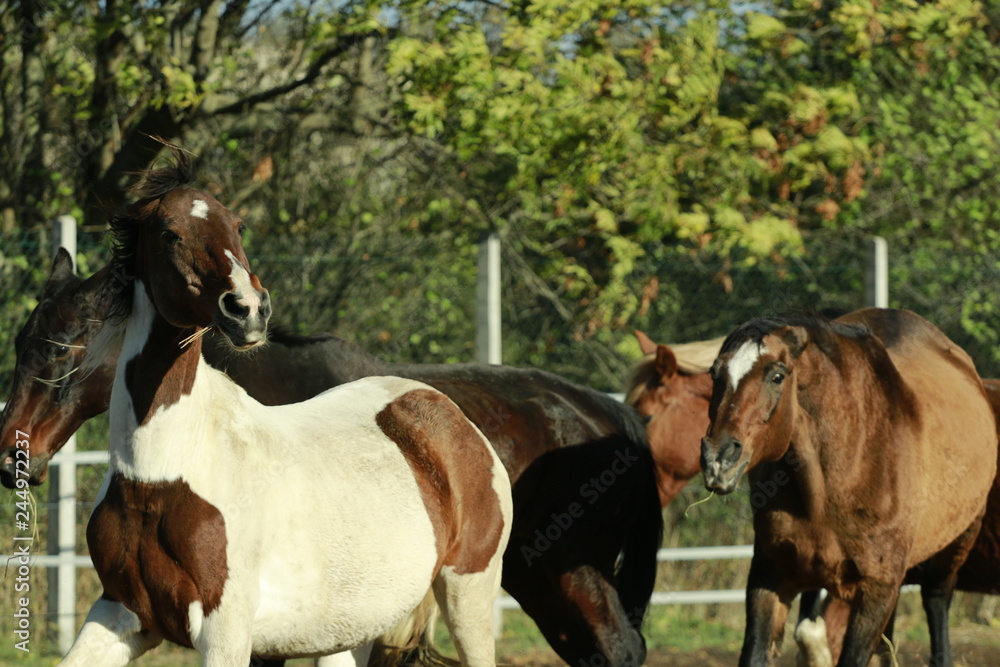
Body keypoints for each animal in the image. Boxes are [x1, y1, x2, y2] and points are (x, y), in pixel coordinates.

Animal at [61, 154, 512, 664]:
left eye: (236, 225)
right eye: (169, 233)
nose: (248, 310)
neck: (159, 472)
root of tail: (448, 416)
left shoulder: (225, 630)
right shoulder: (120, 613)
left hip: (467, 593)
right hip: (355, 632)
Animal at [700, 310, 996, 667]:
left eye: (777, 375)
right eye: (714, 373)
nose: (717, 459)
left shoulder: (877, 592)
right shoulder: (769, 575)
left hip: (955, 546)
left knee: (936, 601)